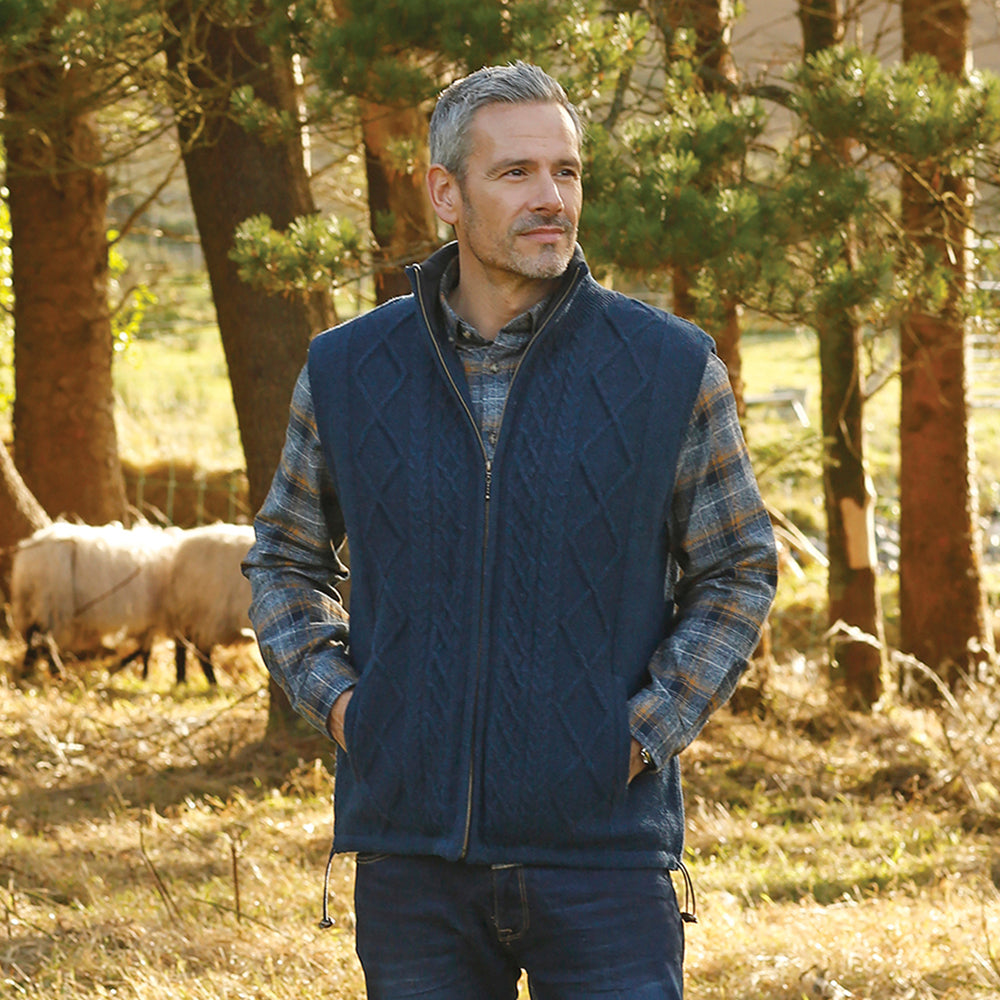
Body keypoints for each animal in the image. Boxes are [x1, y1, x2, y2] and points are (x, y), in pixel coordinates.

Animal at [10, 520, 180, 677]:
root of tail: (29, 554)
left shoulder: (151, 618)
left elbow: (145, 648)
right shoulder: (153, 616)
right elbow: (145, 649)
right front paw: (130, 669)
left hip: (30, 602)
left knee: (33, 635)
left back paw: (29, 669)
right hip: (53, 604)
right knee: (46, 638)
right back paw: (57, 672)